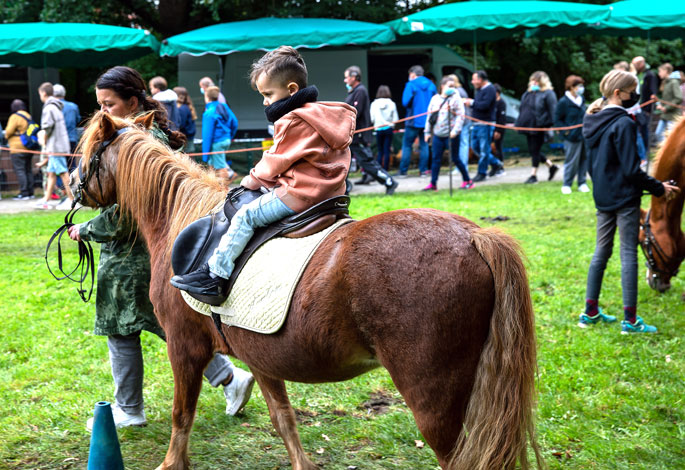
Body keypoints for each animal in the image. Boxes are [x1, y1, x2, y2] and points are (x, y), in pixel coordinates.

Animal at [75, 112, 544, 470]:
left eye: (87, 153)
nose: (73, 189)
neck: (180, 219)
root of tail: (477, 237)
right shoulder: (258, 354)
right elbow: (284, 419)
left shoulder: (184, 345)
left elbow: (181, 414)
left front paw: (172, 462)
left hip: (436, 403)